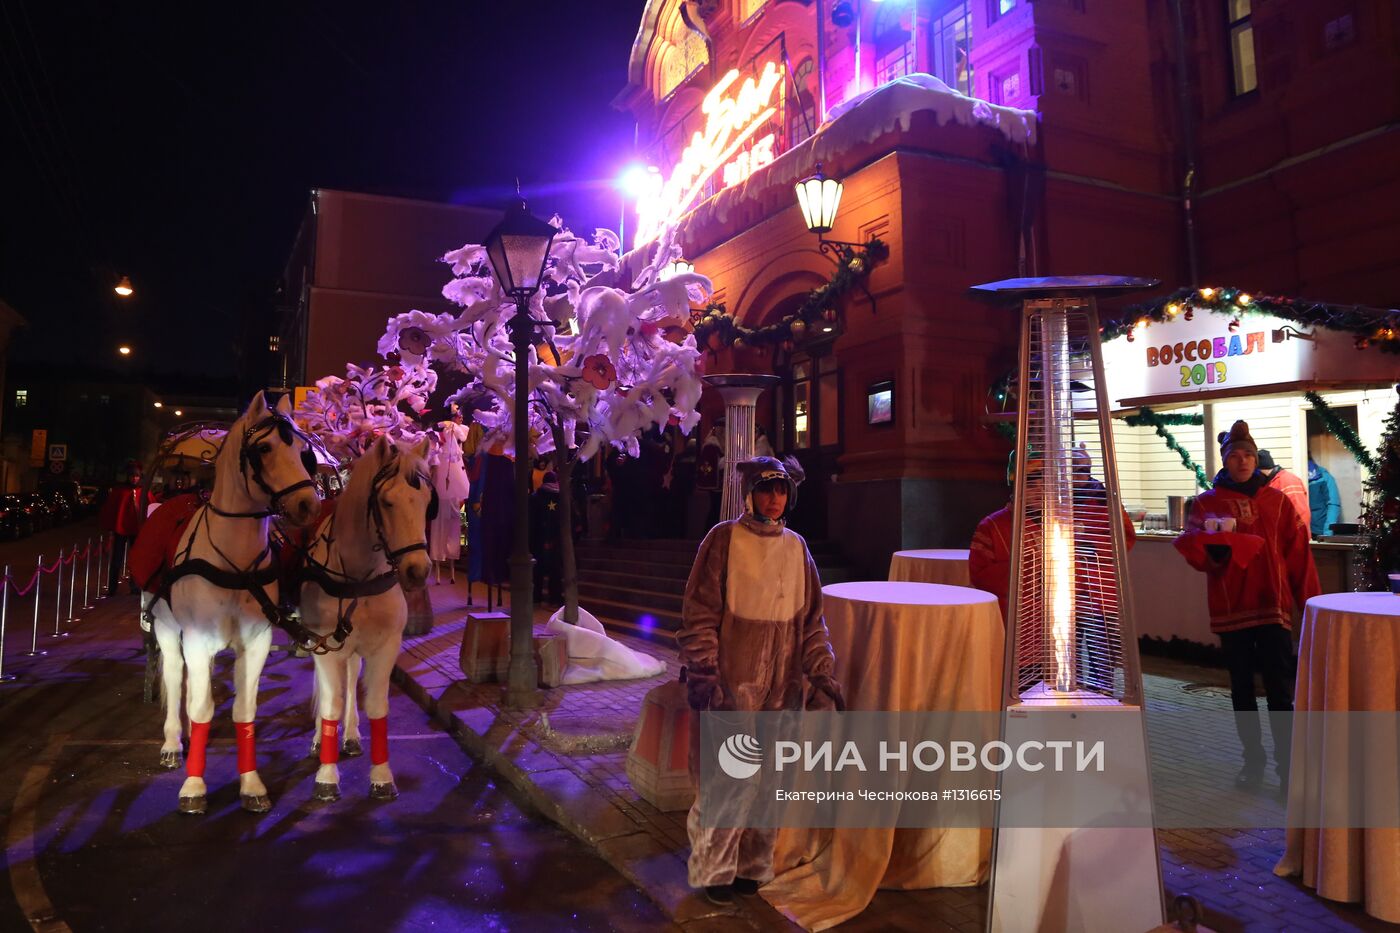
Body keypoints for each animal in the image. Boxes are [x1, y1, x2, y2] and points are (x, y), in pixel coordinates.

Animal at [151, 389, 320, 812]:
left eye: (303, 453)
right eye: (264, 448)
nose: (309, 505)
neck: (235, 562)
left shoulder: (256, 643)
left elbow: (244, 709)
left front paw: (251, 783)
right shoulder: (196, 639)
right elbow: (199, 706)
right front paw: (194, 785)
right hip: (165, 626)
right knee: (175, 674)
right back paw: (172, 742)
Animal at [295, 437, 425, 801]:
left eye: (427, 500)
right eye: (387, 501)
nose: (418, 570)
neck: (360, 578)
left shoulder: (385, 647)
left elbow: (377, 706)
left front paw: (381, 776)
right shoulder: (324, 645)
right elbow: (330, 703)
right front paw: (326, 776)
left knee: (352, 678)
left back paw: (351, 735)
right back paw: (319, 740)